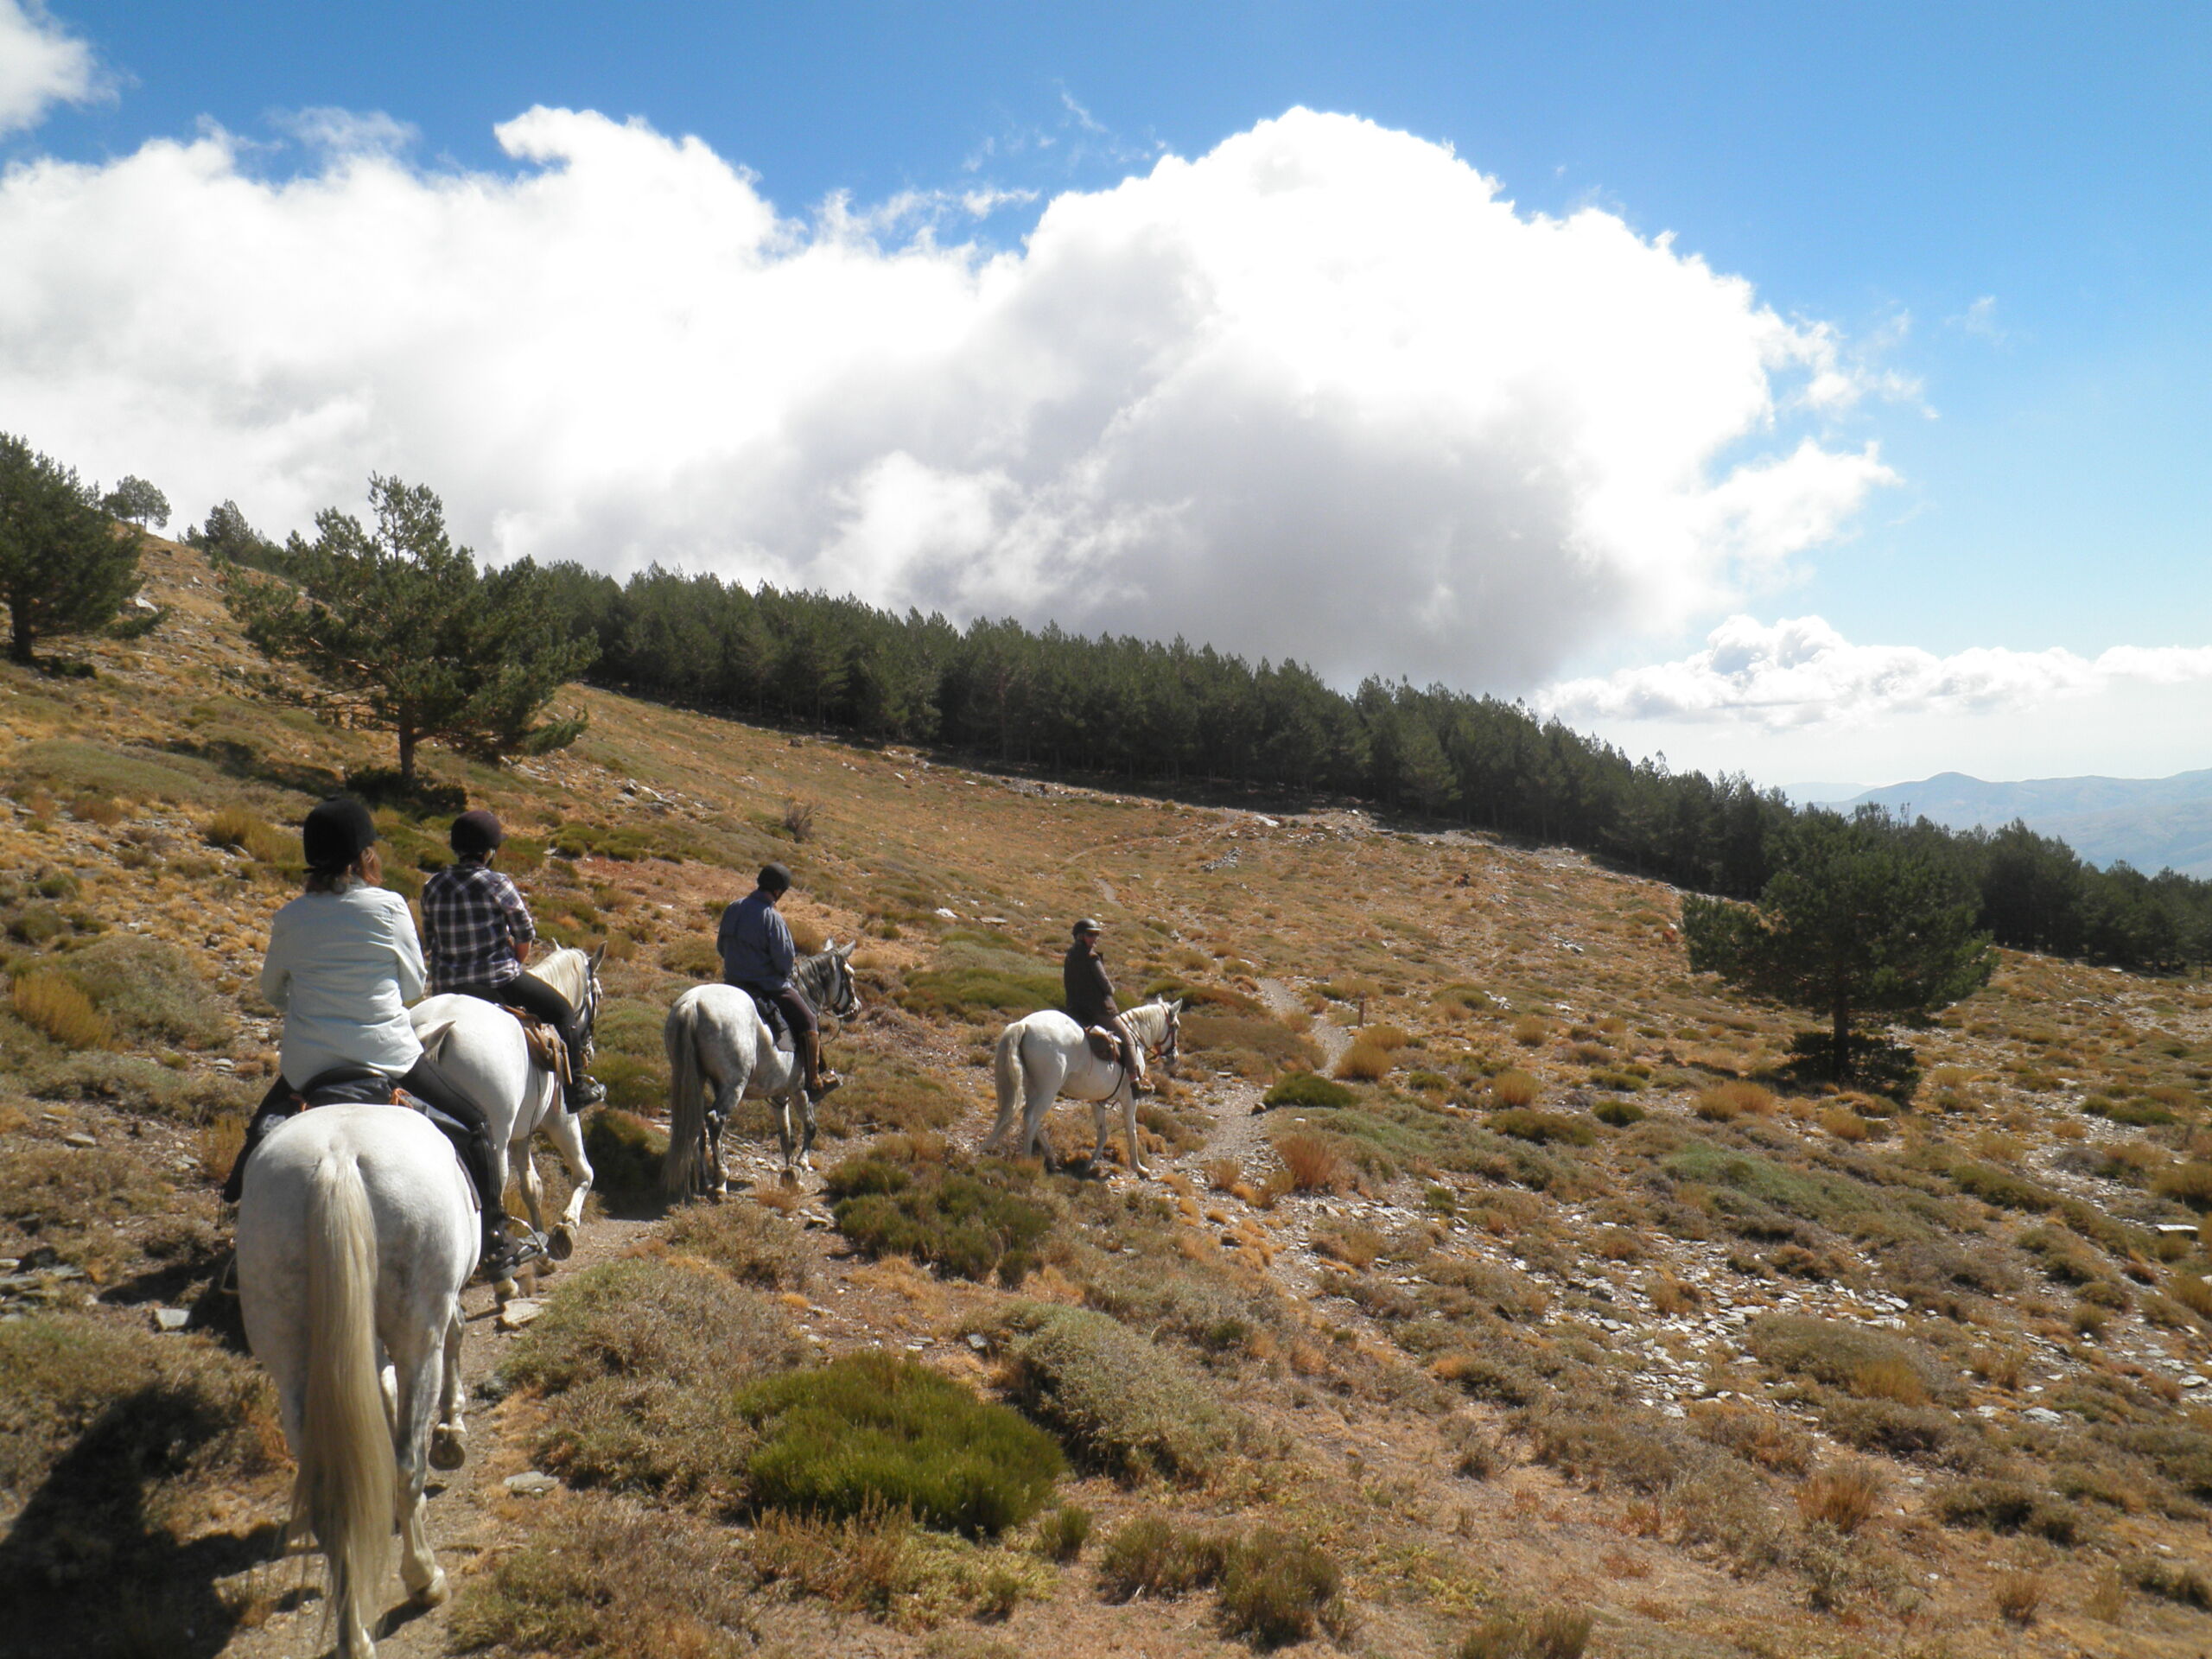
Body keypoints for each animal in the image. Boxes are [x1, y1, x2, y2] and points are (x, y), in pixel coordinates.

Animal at [234, 1106, 475, 1659]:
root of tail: (337, 1158)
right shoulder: (440, 1314)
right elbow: (456, 1335)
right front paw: (452, 1431)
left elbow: (379, 1393)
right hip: (416, 1332)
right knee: (408, 1465)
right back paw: (425, 1578)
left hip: (290, 1358)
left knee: (330, 1501)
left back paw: (355, 1635)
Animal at [409, 942, 601, 1265]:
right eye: (597, 993)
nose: (589, 1051)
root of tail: (436, 1029)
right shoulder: (561, 1117)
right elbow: (584, 1172)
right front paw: (565, 1229)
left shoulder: (522, 1134)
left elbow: (532, 1187)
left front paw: (541, 1243)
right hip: (496, 1132)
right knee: (492, 1186)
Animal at [658, 942, 858, 1203]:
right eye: (850, 975)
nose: (856, 1008)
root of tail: (693, 1005)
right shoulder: (799, 1089)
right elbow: (810, 1126)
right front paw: (800, 1167)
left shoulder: (778, 1095)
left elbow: (786, 1135)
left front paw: (789, 1173)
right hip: (734, 1085)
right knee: (715, 1120)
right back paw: (720, 1180)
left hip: (694, 1078)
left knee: (698, 1121)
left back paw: (704, 1179)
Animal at [986, 1000, 1185, 1185]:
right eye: (1176, 1026)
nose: (1174, 1057)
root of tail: (1024, 1025)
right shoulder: (1129, 1098)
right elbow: (1132, 1130)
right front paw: (1139, 1168)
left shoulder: (1098, 1099)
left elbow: (1102, 1133)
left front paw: (1088, 1166)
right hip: (1047, 1090)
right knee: (1031, 1119)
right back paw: (1027, 1163)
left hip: (1031, 1087)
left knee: (1028, 1117)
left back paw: (1051, 1159)